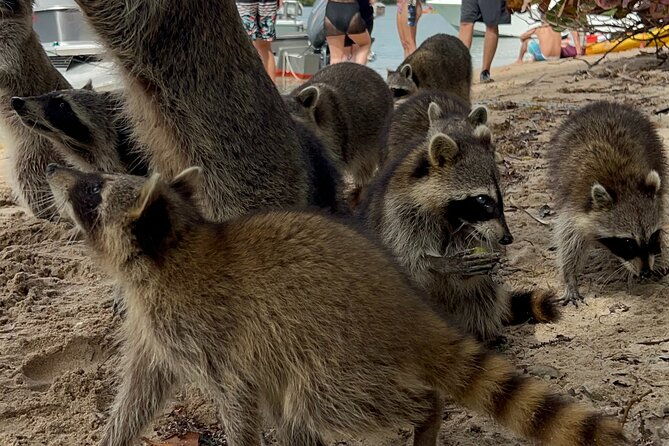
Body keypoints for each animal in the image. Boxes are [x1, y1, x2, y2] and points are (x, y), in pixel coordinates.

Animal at [47, 164, 624, 446]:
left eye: (92, 192)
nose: (54, 170)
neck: (173, 251)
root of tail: (407, 309)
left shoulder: (208, 330)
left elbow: (237, 401)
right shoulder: (154, 326)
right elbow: (143, 389)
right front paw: (114, 435)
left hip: (336, 356)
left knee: (319, 403)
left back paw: (426, 413)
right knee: (295, 415)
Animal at [359, 92, 558, 342]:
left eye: (499, 198)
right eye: (483, 200)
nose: (507, 239)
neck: (448, 215)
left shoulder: (468, 228)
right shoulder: (400, 215)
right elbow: (408, 259)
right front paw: (441, 263)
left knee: (480, 294)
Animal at [548, 101, 667, 305]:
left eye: (652, 237)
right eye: (628, 242)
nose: (645, 272)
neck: (623, 183)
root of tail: (602, 104)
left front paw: (658, 255)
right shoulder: (575, 204)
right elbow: (569, 239)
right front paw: (570, 277)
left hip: (655, 146)